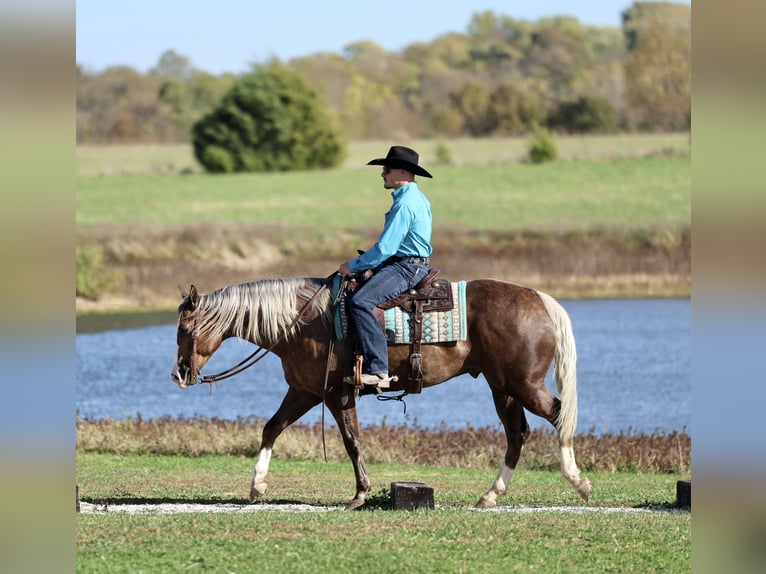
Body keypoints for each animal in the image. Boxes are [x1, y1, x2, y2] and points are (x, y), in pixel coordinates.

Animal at [171, 276, 591, 510]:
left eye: (185, 330)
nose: (179, 373)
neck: (303, 322)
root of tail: (539, 299)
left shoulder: (335, 394)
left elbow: (352, 440)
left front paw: (360, 494)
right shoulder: (304, 391)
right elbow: (271, 428)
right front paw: (257, 485)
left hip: (523, 385)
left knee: (559, 416)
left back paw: (578, 481)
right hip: (503, 387)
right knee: (518, 433)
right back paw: (490, 495)